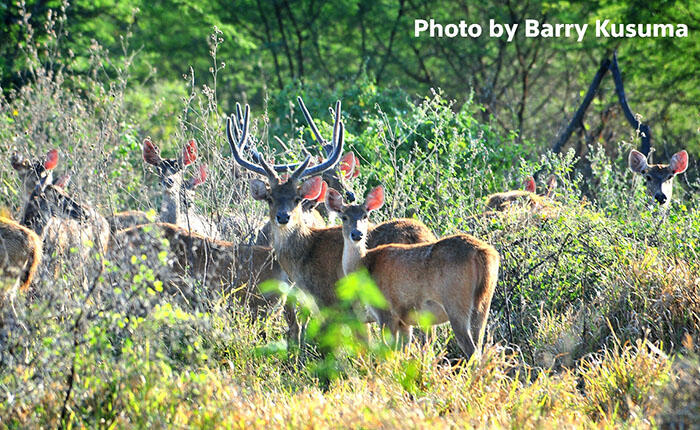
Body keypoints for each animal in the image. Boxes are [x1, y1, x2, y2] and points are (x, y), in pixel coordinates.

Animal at [227, 98, 434, 342]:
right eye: (270, 198)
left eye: (297, 198)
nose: (283, 216)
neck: (304, 255)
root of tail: (420, 235)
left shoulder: (331, 301)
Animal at [326, 186, 500, 360]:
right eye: (344, 217)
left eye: (365, 215)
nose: (357, 234)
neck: (365, 264)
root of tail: (483, 253)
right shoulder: (404, 320)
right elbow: (403, 350)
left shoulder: (386, 311)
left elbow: (388, 352)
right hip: (483, 302)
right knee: (480, 345)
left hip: (456, 302)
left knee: (471, 350)